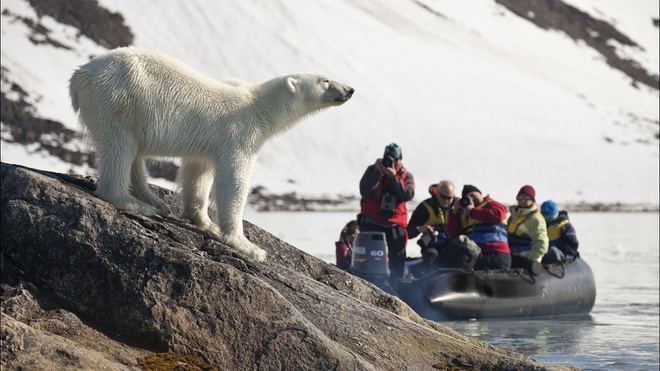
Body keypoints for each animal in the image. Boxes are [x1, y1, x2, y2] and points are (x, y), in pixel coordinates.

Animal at [69, 46, 354, 262]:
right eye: (325, 80)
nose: (350, 90)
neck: (260, 106)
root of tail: (79, 75)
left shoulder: (207, 145)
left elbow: (198, 172)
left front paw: (204, 221)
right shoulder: (239, 133)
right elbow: (234, 182)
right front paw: (249, 246)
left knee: (134, 155)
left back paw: (155, 202)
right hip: (119, 101)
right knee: (120, 147)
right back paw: (135, 203)